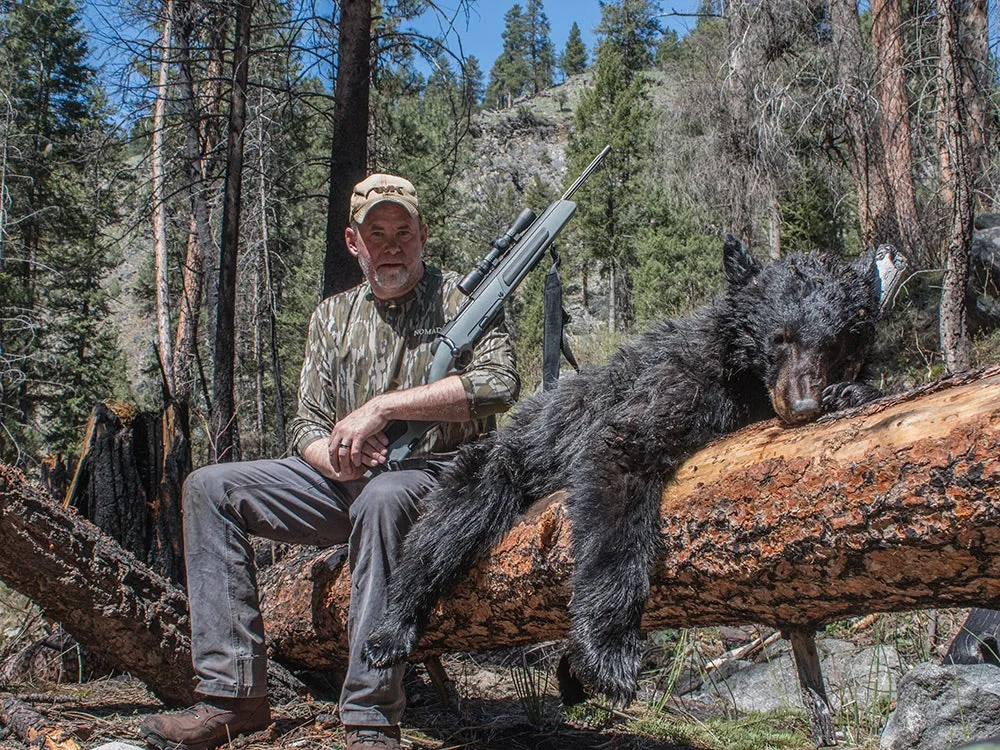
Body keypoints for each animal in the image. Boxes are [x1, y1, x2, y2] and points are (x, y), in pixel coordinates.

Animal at [366, 238, 892, 708]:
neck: (746, 381)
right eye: (780, 337)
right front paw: (609, 653)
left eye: (836, 344)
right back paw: (391, 629)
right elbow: (619, 466)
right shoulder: (677, 382)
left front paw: (849, 394)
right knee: (445, 530)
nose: (802, 405)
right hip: (498, 464)